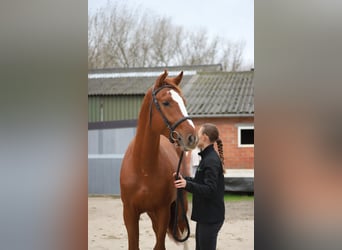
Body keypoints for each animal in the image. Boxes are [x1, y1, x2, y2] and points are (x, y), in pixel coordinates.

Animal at [120, 71, 198, 250]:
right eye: (166, 102)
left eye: (184, 102)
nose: (192, 137)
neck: (143, 168)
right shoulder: (129, 213)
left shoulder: (163, 211)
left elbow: (159, 245)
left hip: (179, 206)